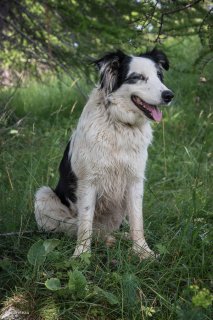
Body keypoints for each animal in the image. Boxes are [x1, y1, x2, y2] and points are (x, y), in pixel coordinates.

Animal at [35, 48, 174, 258]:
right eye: (138, 77)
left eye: (159, 76)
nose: (169, 95)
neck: (119, 124)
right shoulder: (88, 182)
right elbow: (85, 224)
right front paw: (81, 256)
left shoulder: (135, 180)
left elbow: (137, 221)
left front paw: (143, 252)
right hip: (43, 196)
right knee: (73, 227)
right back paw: (105, 239)